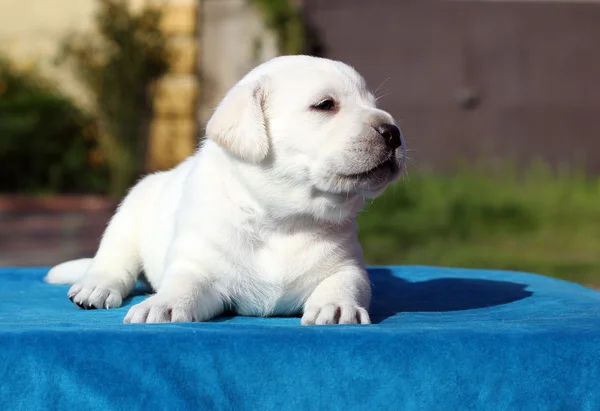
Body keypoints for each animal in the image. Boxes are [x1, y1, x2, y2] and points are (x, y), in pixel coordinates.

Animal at [44, 55, 406, 326]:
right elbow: (183, 285)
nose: (394, 132)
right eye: (325, 105)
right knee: (112, 261)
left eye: (373, 104)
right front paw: (162, 304)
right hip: (128, 216)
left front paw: (337, 306)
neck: (284, 220)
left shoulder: (346, 266)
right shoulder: (198, 265)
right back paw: (95, 286)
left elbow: (345, 282)